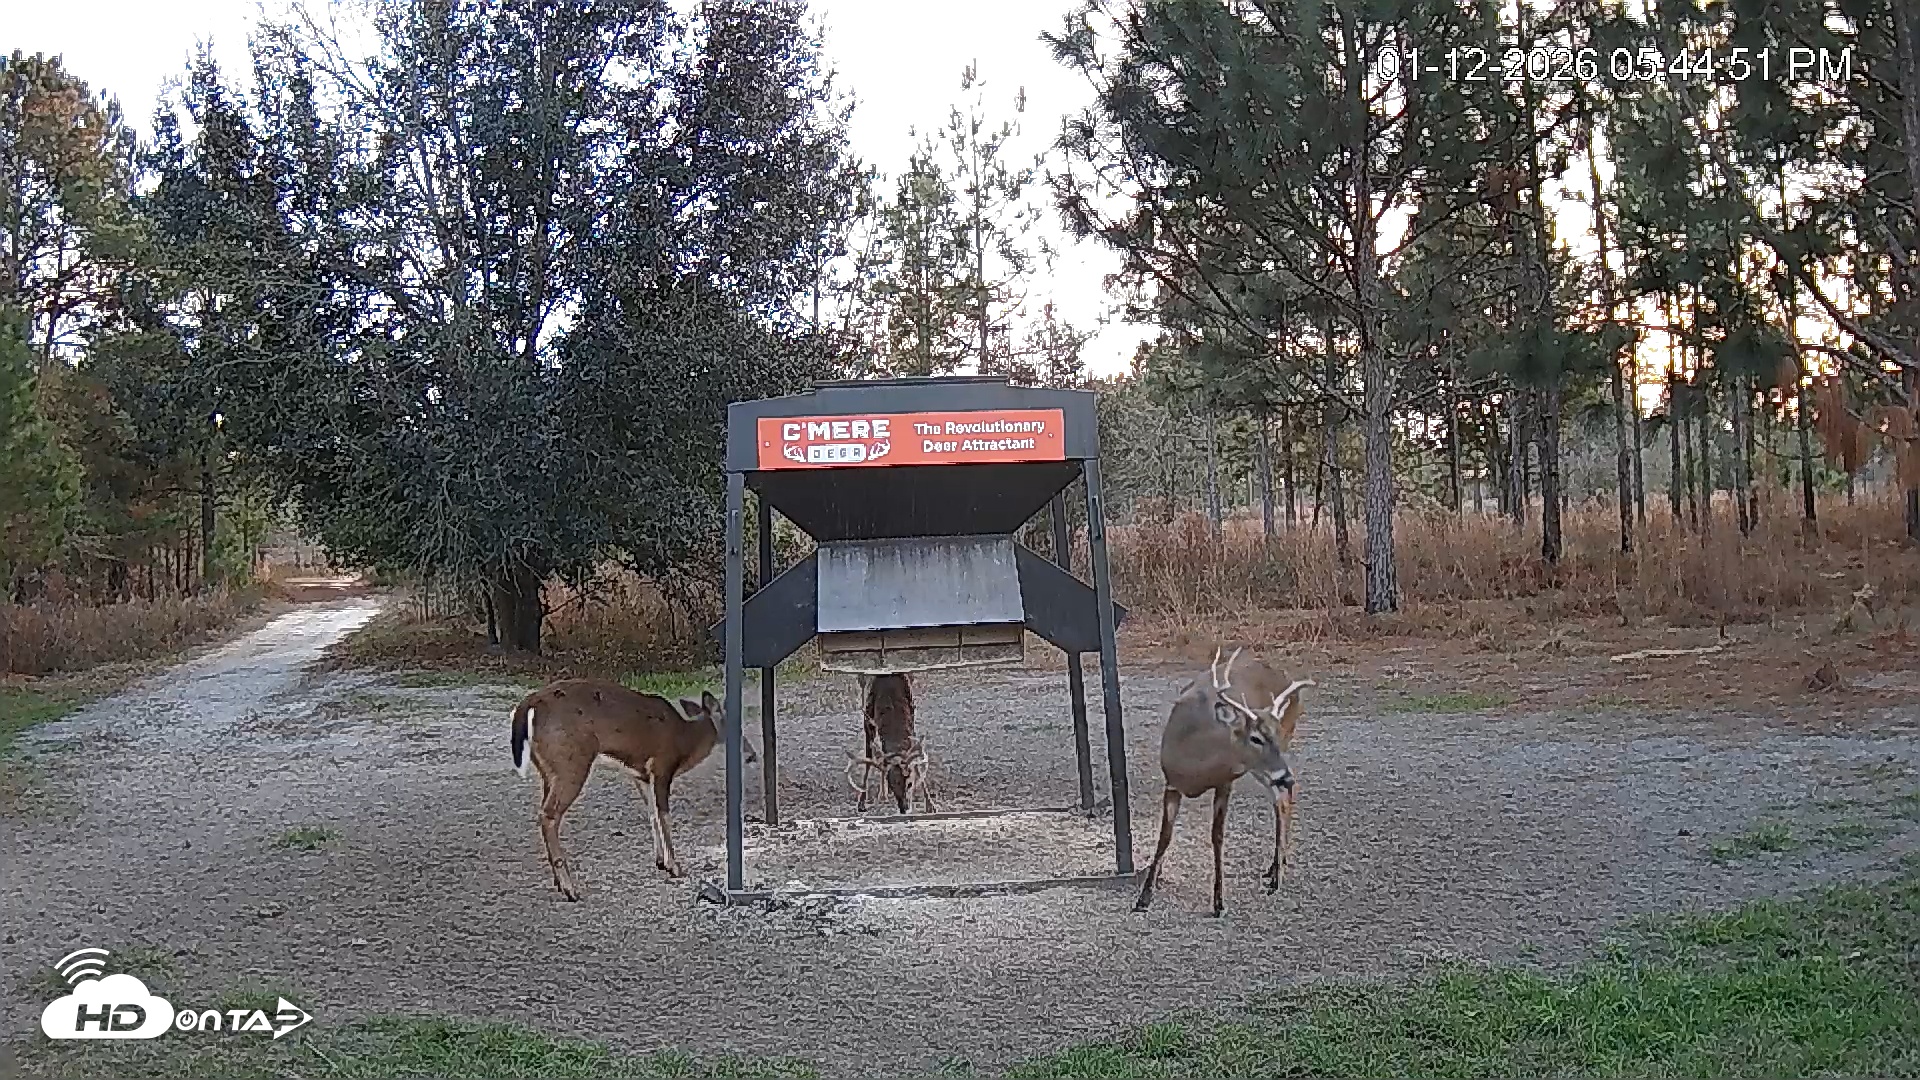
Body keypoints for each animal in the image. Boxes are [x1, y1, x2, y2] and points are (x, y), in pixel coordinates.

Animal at [508, 678, 755, 901]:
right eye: (736, 728)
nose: (751, 755)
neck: (683, 742)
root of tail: (529, 705)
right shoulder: (662, 766)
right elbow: (664, 815)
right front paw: (675, 866)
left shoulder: (641, 775)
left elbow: (652, 813)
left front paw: (660, 862)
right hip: (571, 761)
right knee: (549, 815)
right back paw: (570, 889)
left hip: (549, 770)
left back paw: (560, 883)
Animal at [846, 672, 934, 814]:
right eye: (893, 786)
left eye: (910, 783)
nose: (904, 808)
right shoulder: (868, 718)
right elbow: (869, 759)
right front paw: (862, 802)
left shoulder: (912, 717)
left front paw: (930, 805)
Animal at [1133, 647, 1314, 917]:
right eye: (1255, 738)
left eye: (1274, 733)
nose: (1286, 776)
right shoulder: (1171, 783)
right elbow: (1165, 836)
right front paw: (1144, 896)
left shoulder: (1225, 781)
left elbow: (1217, 836)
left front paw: (1218, 902)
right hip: (1260, 768)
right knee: (1282, 798)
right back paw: (1276, 865)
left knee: (1281, 799)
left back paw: (1277, 876)